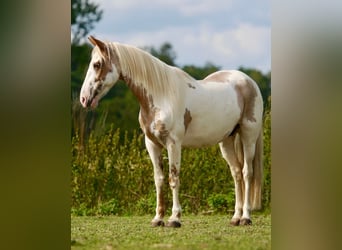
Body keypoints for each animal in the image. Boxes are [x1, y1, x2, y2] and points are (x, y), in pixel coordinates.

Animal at [80, 36, 264, 228]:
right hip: (227, 140)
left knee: (247, 173)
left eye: (97, 64)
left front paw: (174, 218)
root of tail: (249, 82)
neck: (161, 96)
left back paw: (246, 217)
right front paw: (158, 218)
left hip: (249, 137)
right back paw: (236, 217)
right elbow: (159, 180)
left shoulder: (173, 144)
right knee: (236, 173)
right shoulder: (152, 144)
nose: (84, 99)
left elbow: (173, 178)